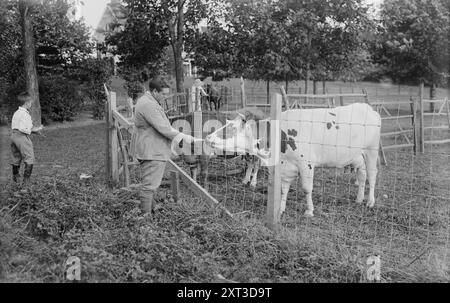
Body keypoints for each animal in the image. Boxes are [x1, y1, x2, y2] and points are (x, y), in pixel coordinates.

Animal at [206, 103, 382, 217]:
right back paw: (359, 199)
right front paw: (280, 209)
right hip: (357, 157)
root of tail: (368, 108)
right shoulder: (285, 166)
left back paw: (370, 202)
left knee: (373, 175)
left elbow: (306, 188)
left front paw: (309, 211)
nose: (208, 137)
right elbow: (283, 188)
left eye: (233, 128)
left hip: (371, 151)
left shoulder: (306, 164)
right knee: (362, 176)